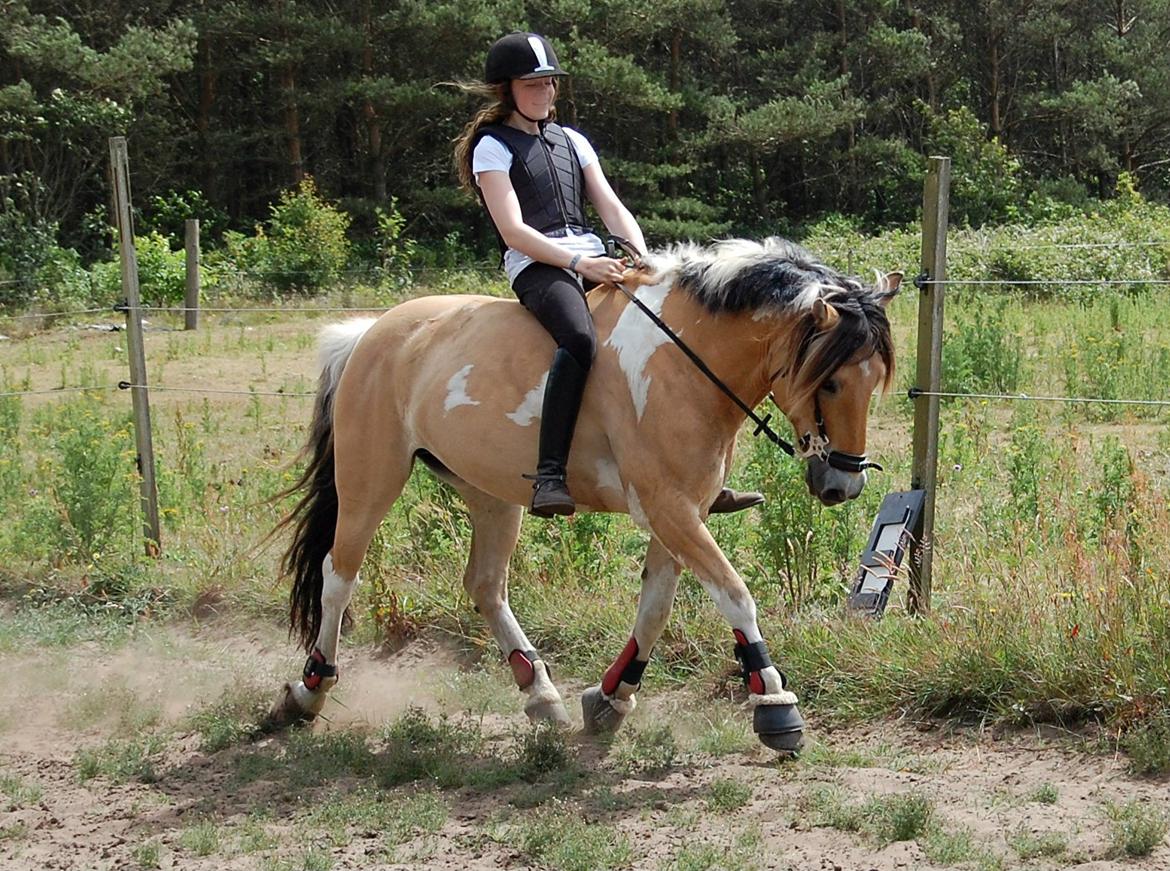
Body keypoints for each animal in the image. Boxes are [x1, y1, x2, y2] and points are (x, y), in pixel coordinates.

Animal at [269, 235, 898, 753]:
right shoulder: (670, 509)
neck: (683, 360)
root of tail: (370, 334)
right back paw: (308, 693)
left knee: (484, 584)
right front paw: (774, 703)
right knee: (338, 576)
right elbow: (735, 596)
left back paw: (539, 692)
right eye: (831, 381)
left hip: (489, 493)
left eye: (874, 382)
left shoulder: (682, 511)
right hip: (369, 481)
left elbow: (655, 608)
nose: (844, 484)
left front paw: (610, 699)